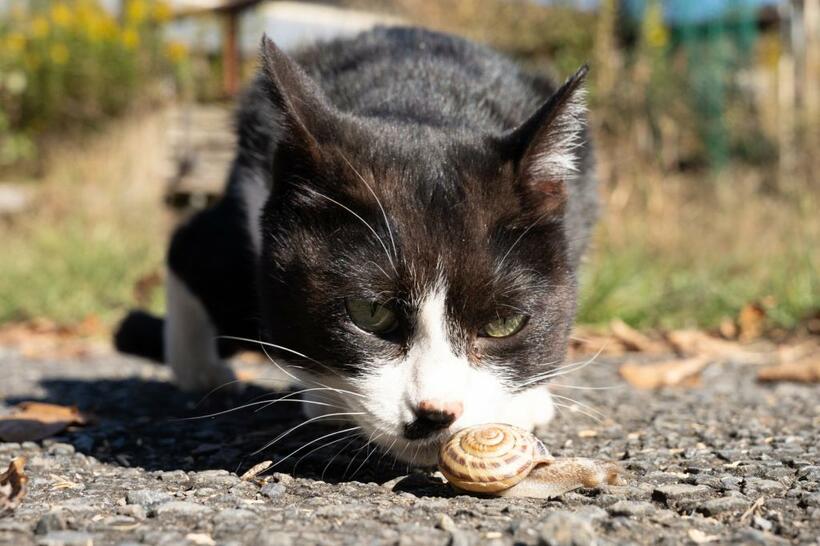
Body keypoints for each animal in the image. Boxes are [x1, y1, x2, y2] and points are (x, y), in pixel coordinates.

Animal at [115, 27, 600, 464]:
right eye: (369, 312)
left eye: (504, 323)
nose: (436, 412)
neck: (421, 102)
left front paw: (526, 399)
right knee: (193, 246)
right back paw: (200, 369)